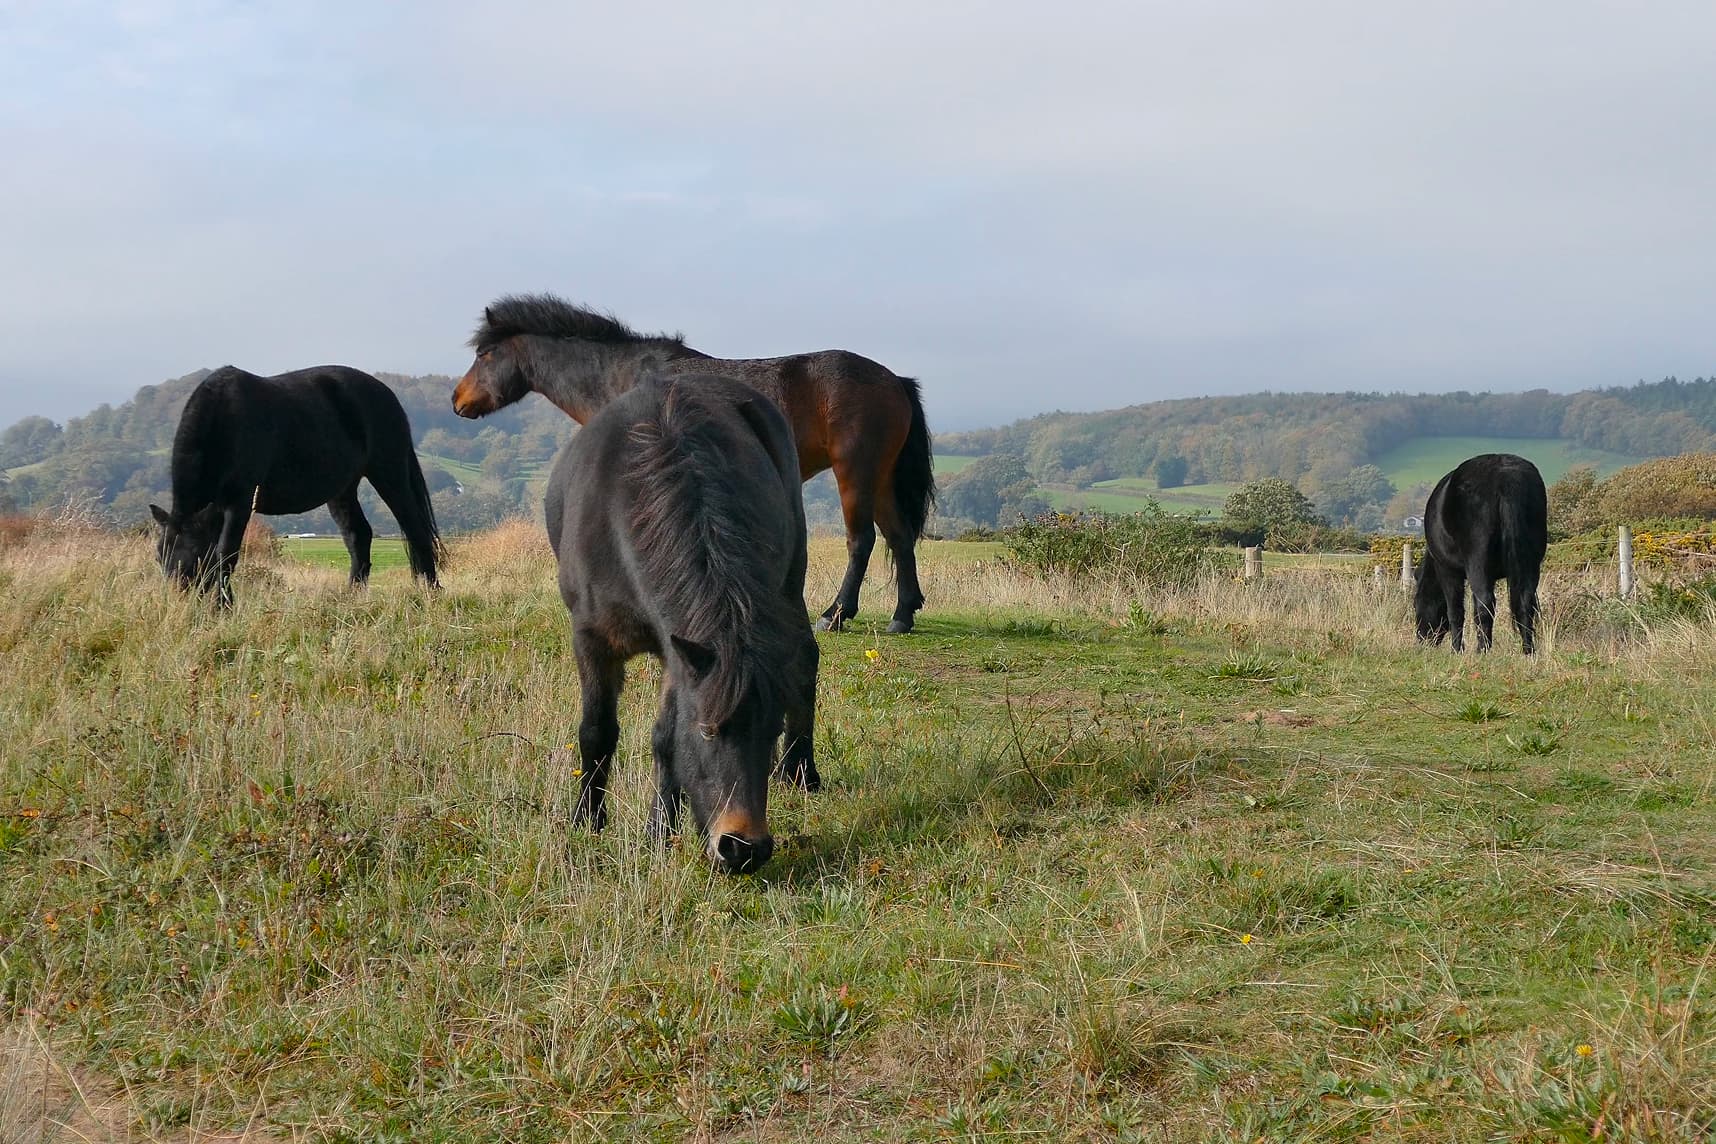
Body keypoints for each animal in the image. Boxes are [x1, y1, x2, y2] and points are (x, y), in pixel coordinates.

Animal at [150, 365, 441, 607]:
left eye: (196, 554)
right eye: (159, 556)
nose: (177, 602)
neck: (224, 419)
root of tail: (388, 396)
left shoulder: (239, 502)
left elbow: (226, 554)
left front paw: (224, 607)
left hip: (389, 475)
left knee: (416, 530)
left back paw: (431, 591)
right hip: (342, 490)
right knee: (359, 535)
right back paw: (352, 595)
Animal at [452, 293, 936, 633]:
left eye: (484, 355)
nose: (456, 400)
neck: (624, 379)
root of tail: (894, 380)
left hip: (856, 473)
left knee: (862, 541)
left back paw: (836, 614)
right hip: (881, 479)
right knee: (899, 538)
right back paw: (902, 615)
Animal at [547, 371, 819, 874]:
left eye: (769, 730)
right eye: (707, 730)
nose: (744, 848)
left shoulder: (678, 653)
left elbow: (664, 740)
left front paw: (659, 832)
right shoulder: (598, 641)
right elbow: (598, 731)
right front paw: (588, 821)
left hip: (791, 582)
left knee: (804, 659)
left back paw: (802, 772)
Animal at [1414, 453, 1548, 653]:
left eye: (1415, 603)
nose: (1422, 640)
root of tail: (1505, 476)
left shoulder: (1448, 571)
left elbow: (1455, 611)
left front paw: (1456, 650)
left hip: (1477, 562)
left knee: (1486, 603)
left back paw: (1483, 650)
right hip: (1530, 565)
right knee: (1525, 604)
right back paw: (1528, 650)